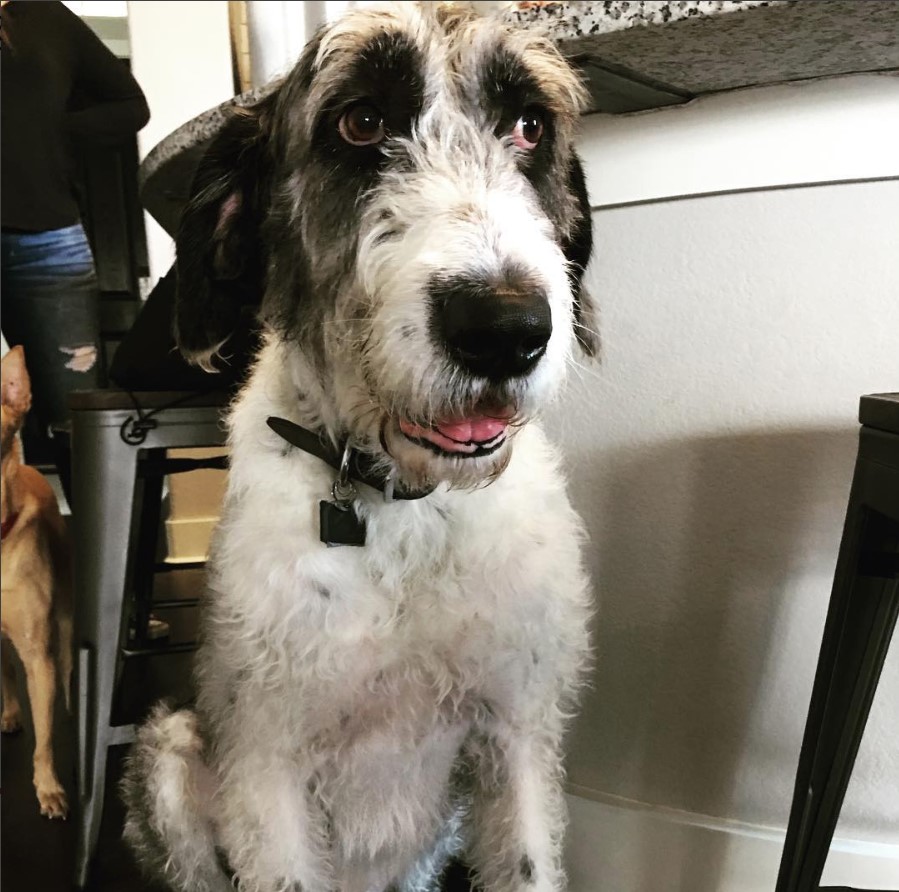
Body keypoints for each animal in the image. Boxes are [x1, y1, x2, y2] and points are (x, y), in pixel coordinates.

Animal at [119, 1, 596, 892]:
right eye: (361, 121)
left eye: (528, 126)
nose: (504, 328)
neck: (400, 509)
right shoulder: (265, 768)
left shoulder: (516, 735)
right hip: (169, 752)